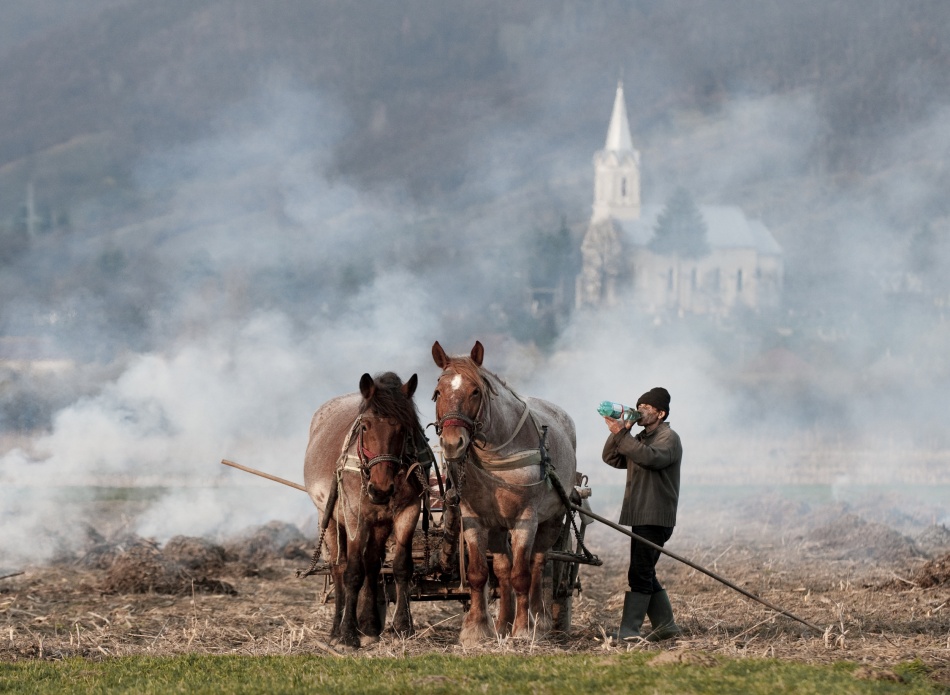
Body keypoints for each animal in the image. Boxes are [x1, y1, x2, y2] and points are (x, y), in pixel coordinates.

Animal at [304, 372, 430, 648]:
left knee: (373, 564)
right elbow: (352, 572)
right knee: (338, 568)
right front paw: (348, 633)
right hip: (328, 518)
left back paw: (370, 626)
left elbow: (401, 566)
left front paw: (403, 626)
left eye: (403, 428)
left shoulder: (408, 512)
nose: (381, 489)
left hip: (379, 524)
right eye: (365, 427)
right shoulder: (355, 518)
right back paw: (336, 629)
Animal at [434, 342, 580, 648]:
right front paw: (477, 629)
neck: (495, 458)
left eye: (475, 391)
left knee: (537, 563)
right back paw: (503, 624)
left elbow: (522, 575)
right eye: (438, 392)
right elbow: (479, 575)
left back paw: (539, 619)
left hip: (552, 519)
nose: (452, 444)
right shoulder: (473, 519)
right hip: (498, 528)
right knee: (502, 569)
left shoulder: (526, 519)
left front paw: (523, 629)